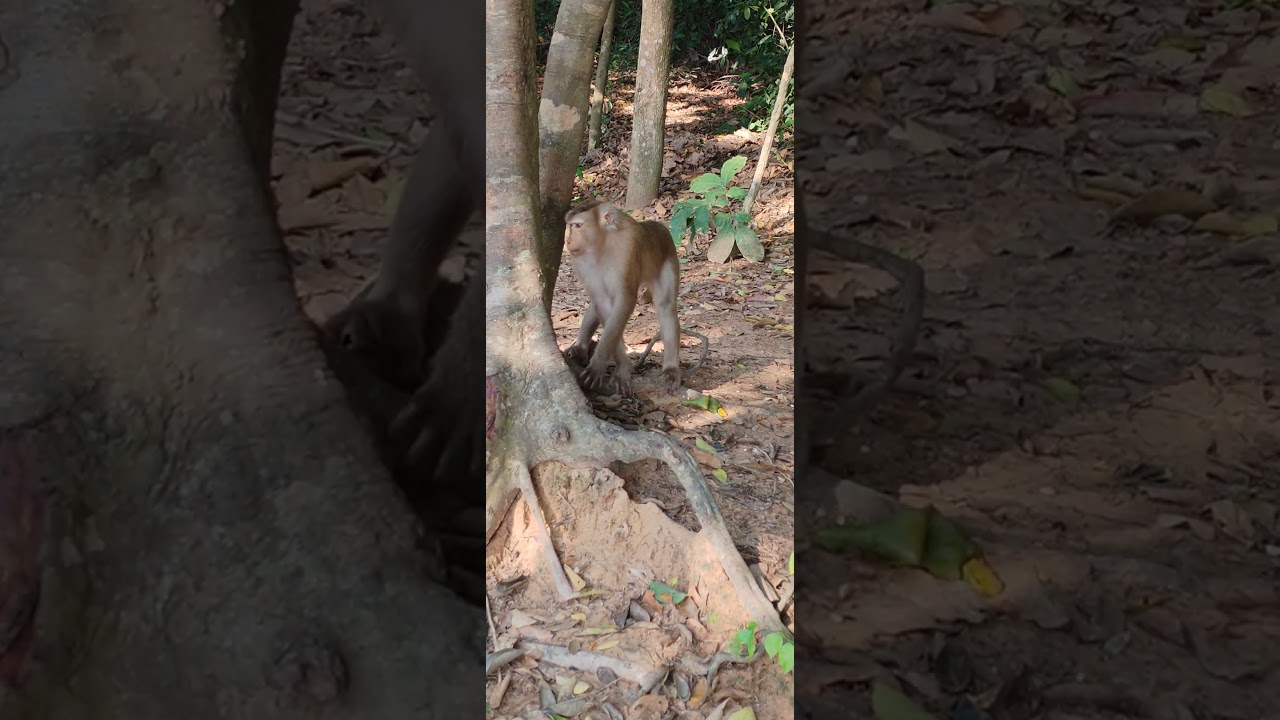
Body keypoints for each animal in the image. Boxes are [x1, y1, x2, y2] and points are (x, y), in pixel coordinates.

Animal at [562, 199, 706, 397]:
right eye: (570, 226)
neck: (603, 244)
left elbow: (625, 300)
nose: (568, 241)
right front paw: (623, 367)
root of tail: (658, 226)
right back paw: (581, 348)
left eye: (577, 226)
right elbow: (604, 303)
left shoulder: (629, 247)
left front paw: (600, 365)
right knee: (598, 302)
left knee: (665, 306)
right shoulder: (581, 261)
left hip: (667, 258)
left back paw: (670, 369)